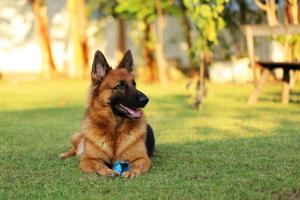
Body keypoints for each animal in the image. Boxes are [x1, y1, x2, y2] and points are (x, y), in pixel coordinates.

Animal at [60, 50, 156, 178]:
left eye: (134, 84)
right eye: (120, 85)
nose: (145, 100)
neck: (115, 130)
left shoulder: (143, 158)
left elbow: (137, 165)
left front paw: (131, 171)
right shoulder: (87, 159)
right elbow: (98, 165)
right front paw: (108, 171)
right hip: (78, 137)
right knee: (75, 149)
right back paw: (64, 154)